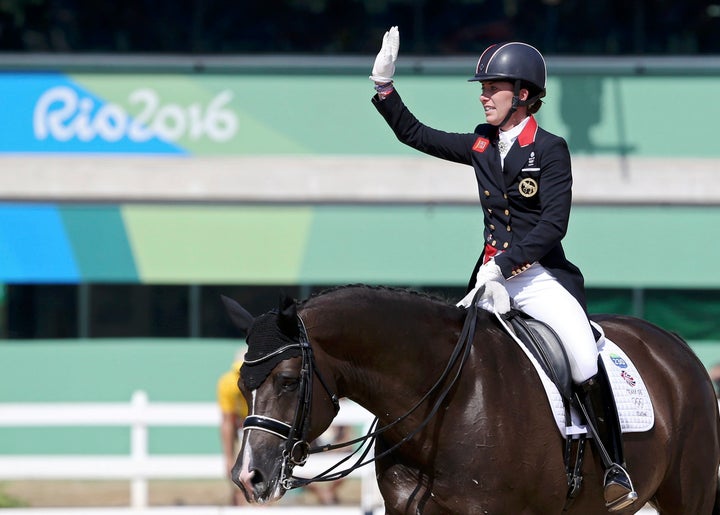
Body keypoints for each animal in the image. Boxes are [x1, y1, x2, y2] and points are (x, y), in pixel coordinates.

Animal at [224, 286, 720, 515]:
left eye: (289, 381)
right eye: (243, 386)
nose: (248, 476)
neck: (444, 401)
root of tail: (674, 345)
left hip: (688, 495)